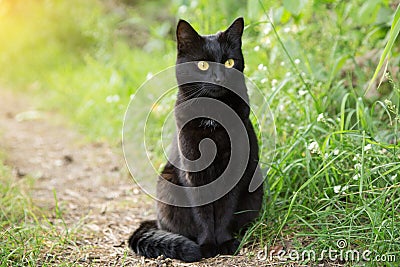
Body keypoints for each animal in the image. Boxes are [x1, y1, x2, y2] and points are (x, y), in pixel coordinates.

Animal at [130, 17, 264, 264]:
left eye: (229, 62)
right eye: (202, 65)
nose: (219, 78)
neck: (213, 118)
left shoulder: (235, 170)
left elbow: (225, 210)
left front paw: (225, 242)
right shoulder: (193, 173)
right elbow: (202, 213)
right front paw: (207, 246)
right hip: (167, 184)